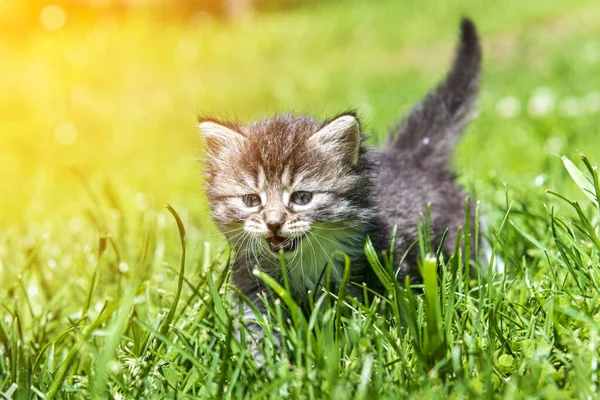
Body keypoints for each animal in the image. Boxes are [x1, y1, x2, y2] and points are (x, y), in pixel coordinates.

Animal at [199, 18, 480, 346]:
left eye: (302, 197)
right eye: (252, 200)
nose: (273, 223)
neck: (301, 264)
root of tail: (409, 154)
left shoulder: (369, 271)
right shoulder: (252, 283)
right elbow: (258, 329)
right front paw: (265, 357)